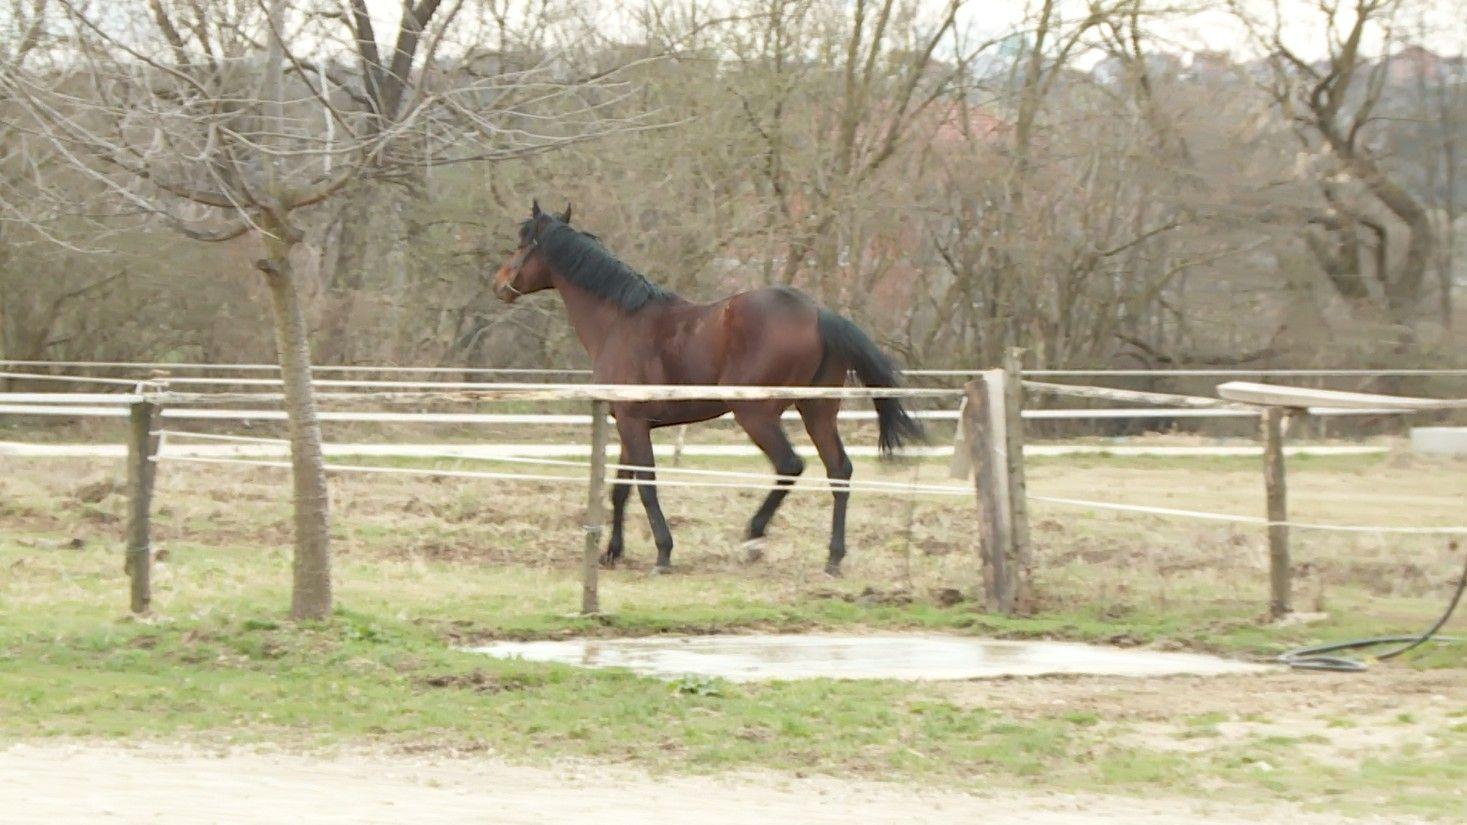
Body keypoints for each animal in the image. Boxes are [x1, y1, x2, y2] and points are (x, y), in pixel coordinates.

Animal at [498, 201, 921, 572]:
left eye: (522, 242)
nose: (498, 283)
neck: (619, 321)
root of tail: (820, 314)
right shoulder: (628, 424)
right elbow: (621, 487)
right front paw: (612, 553)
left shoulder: (633, 423)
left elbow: (646, 484)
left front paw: (663, 552)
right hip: (817, 412)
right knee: (839, 470)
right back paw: (833, 558)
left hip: (755, 414)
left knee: (790, 465)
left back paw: (753, 539)